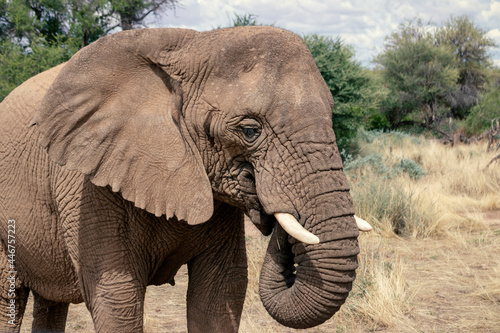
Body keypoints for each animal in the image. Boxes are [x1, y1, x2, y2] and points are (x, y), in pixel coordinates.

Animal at [0, 26, 368, 332]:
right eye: (250, 130)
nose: (272, 209)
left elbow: (220, 292)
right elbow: (117, 297)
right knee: (9, 297)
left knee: (50, 302)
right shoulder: (87, 187)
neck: (191, 44)